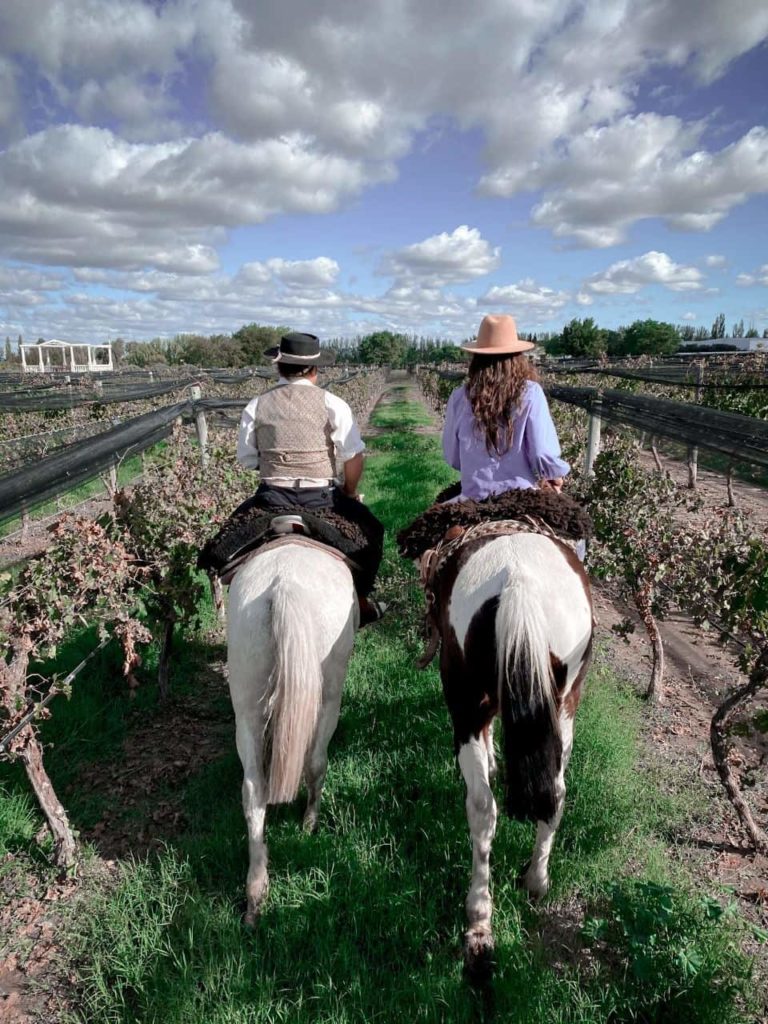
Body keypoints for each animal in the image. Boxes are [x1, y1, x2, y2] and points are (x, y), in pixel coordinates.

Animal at [227, 540, 360, 925]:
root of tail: (282, 584)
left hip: (246, 707)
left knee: (253, 790)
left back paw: (255, 893)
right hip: (328, 694)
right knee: (316, 762)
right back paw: (308, 825)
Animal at [434, 532, 593, 970]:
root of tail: (520, 582)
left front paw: (490, 761)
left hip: (464, 697)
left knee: (482, 808)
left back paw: (479, 920)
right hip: (565, 701)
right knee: (557, 793)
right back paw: (536, 881)